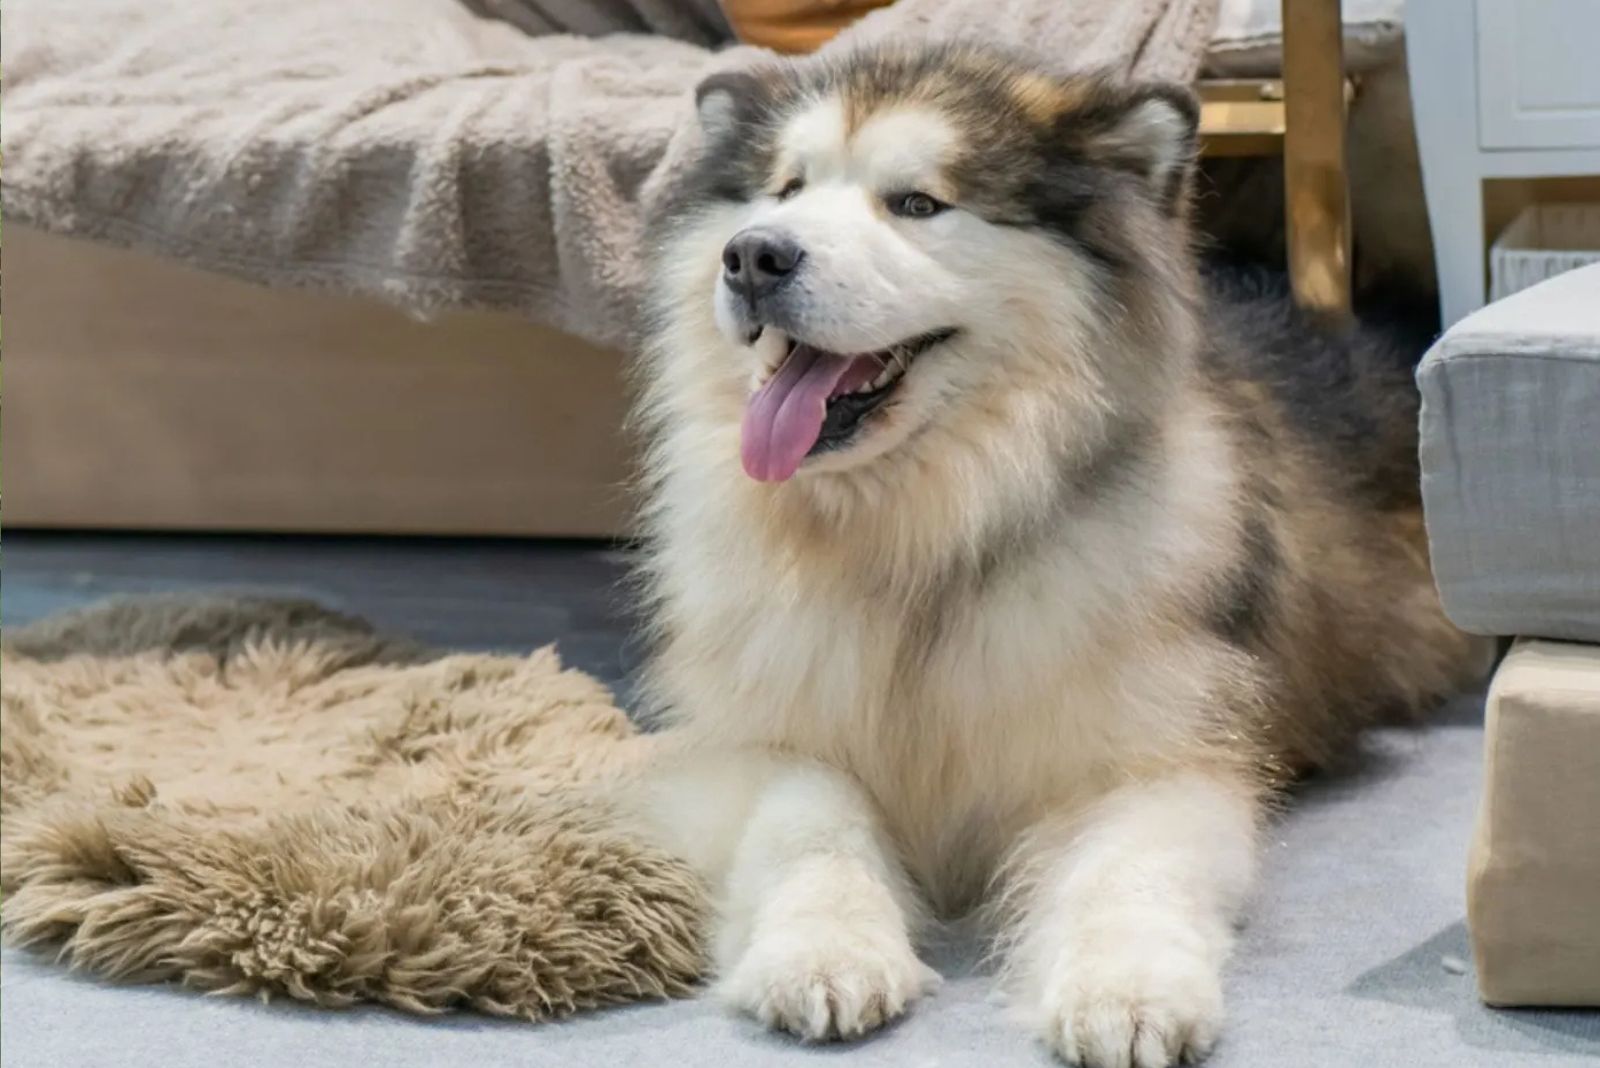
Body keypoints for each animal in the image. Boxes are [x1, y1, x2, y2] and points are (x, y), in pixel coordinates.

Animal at [617, 43, 1478, 1068]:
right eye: (784, 189)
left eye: (918, 203)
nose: (753, 254)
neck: (918, 542)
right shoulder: (751, 743)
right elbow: (808, 820)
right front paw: (822, 951)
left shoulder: (1152, 754)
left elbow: (1126, 871)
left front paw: (1127, 988)